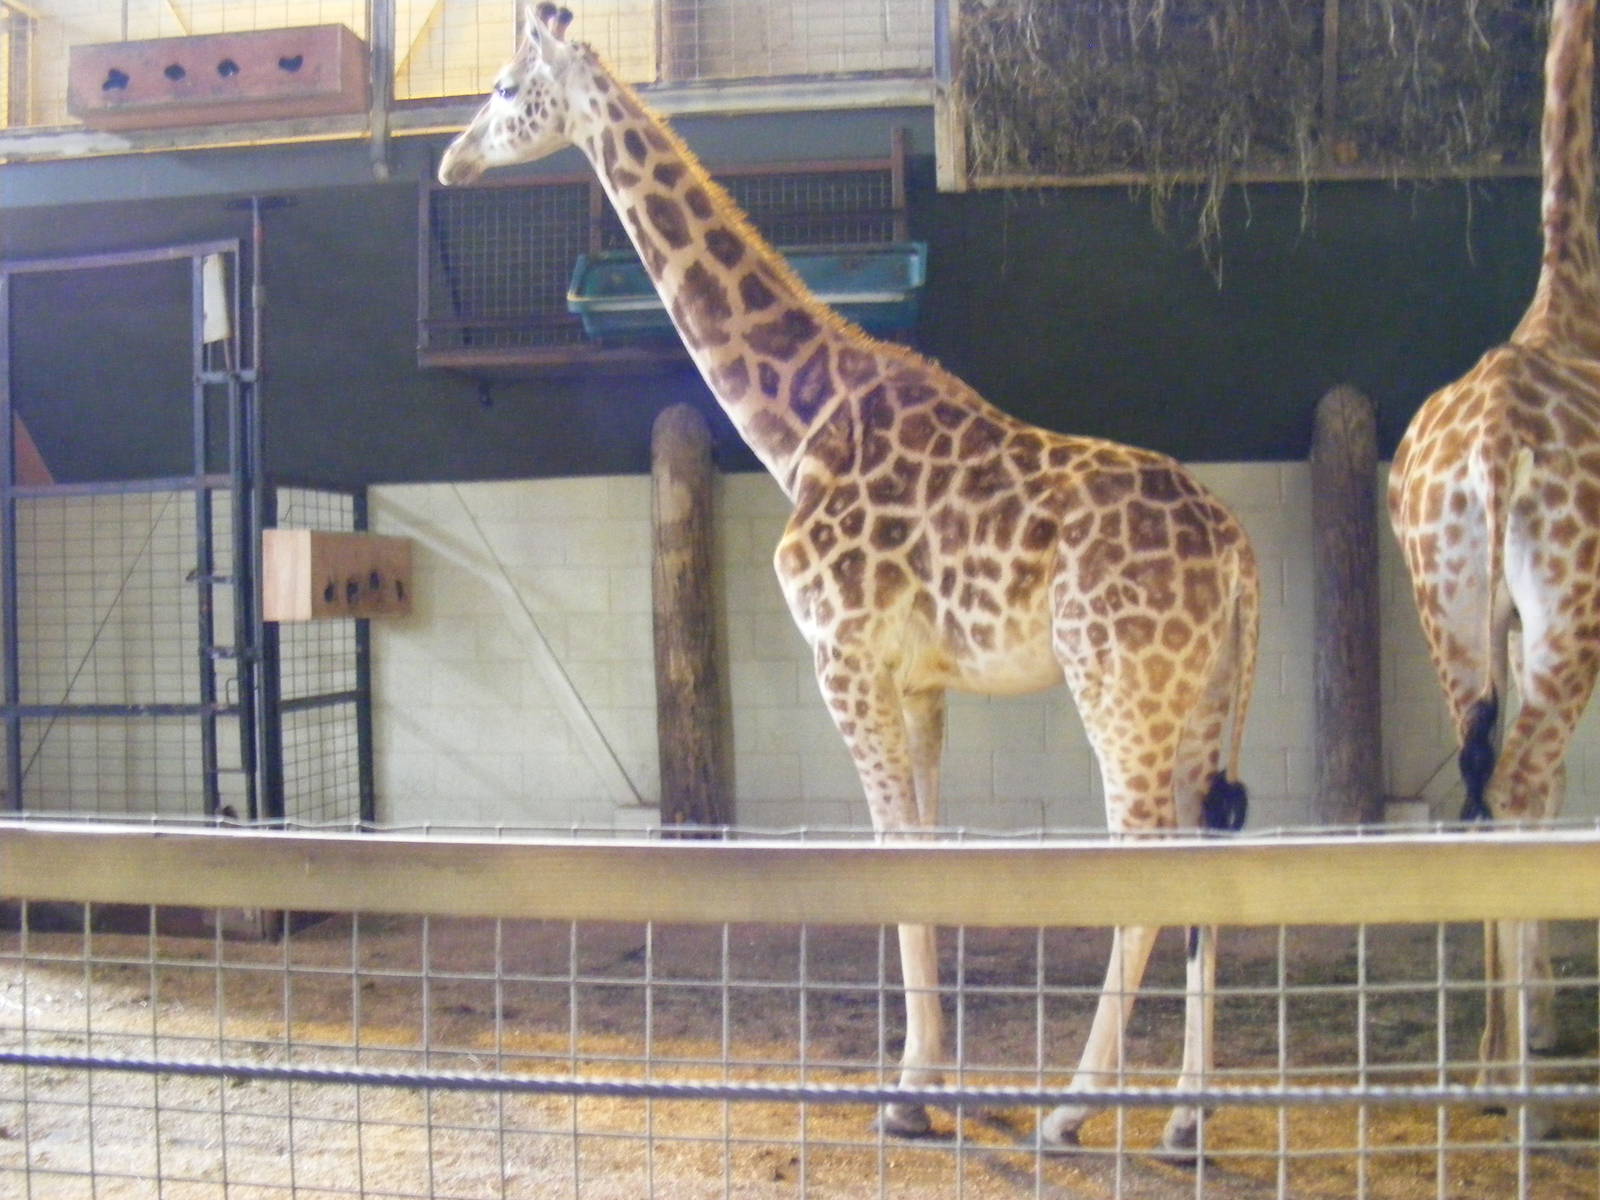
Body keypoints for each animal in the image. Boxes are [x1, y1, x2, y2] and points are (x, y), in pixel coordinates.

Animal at [440, 4, 1259, 1152]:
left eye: (509, 88)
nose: (451, 158)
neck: (802, 425)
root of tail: (1235, 545)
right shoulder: (919, 683)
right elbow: (926, 849)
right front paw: (935, 1077)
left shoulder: (844, 658)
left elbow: (890, 851)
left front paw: (909, 1095)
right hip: (1202, 695)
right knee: (1209, 853)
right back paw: (1188, 1116)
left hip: (1120, 685)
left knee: (1142, 860)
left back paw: (1071, 1111)